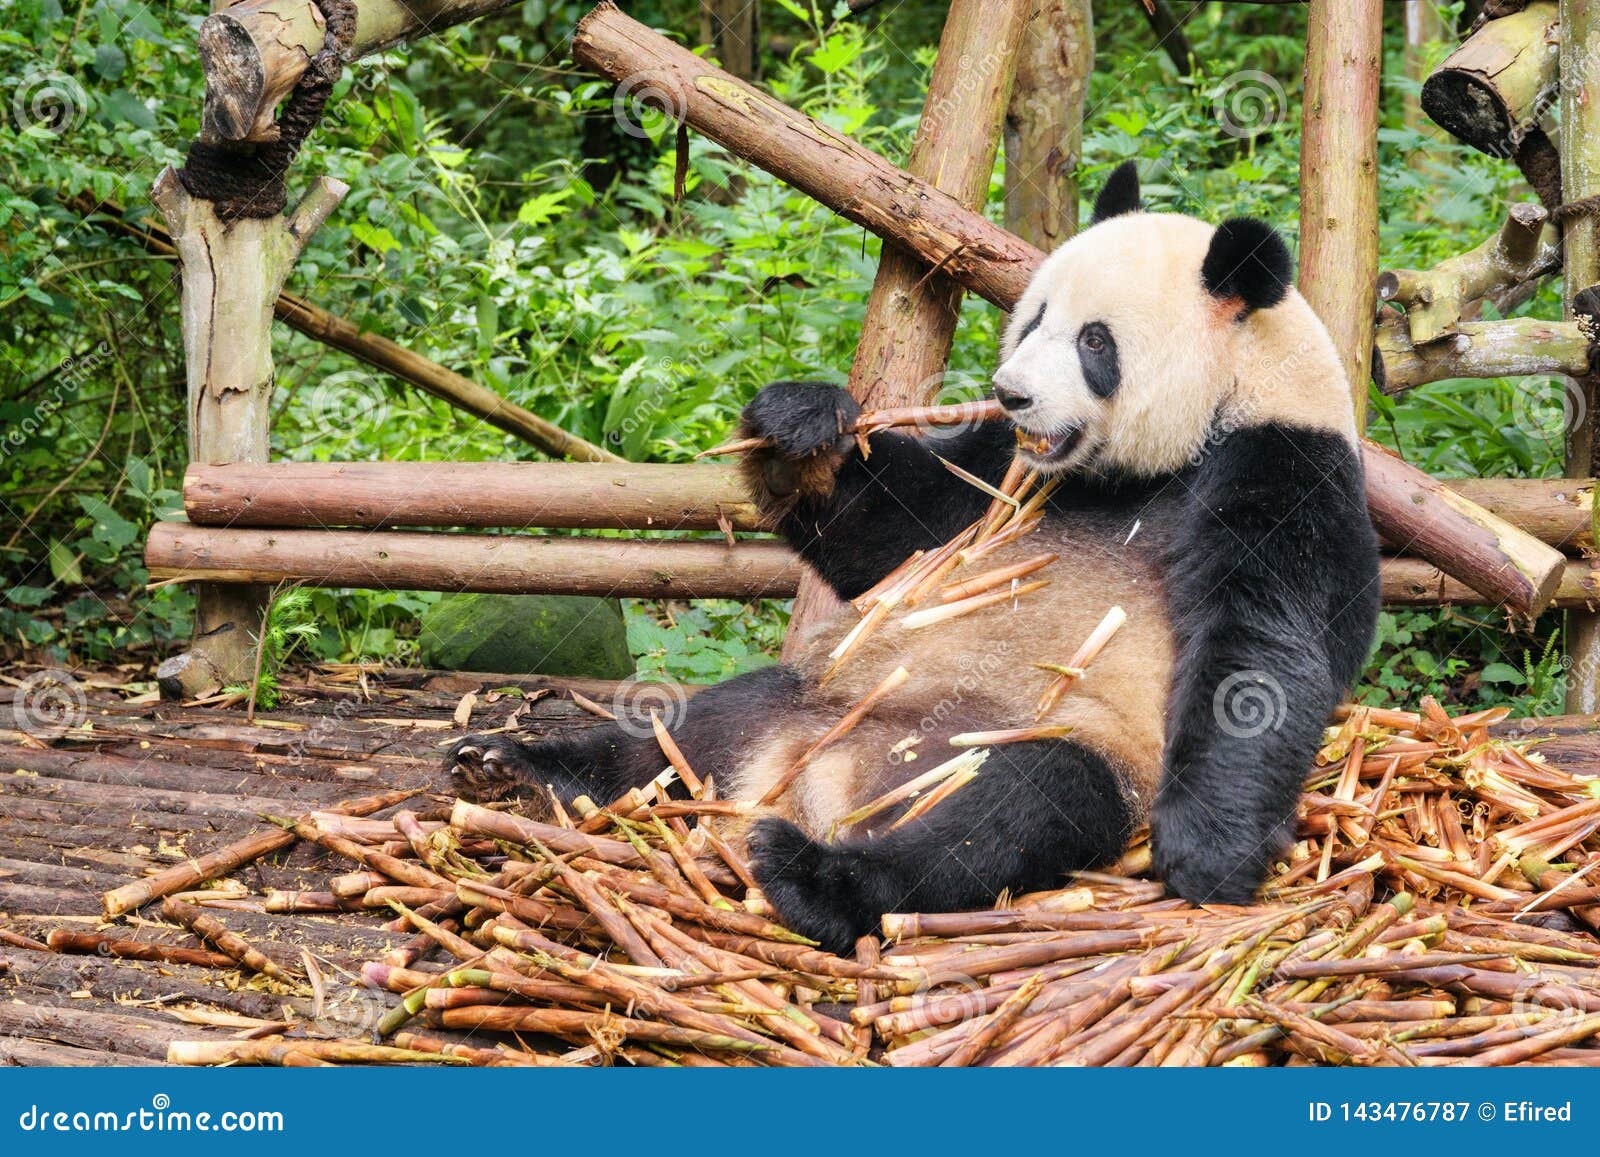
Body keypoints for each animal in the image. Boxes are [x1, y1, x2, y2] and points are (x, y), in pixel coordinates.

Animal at [444, 164, 1382, 960]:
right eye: (1033, 316)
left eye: (1095, 343)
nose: (1011, 392)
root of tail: (810, 781)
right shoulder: (1004, 476)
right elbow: (900, 532)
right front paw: (799, 424)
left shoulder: (1284, 467)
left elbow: (1261, 654)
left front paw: (1209, 856)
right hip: (811, 697)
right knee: (683, 734)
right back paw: (522, 770)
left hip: (1028, 744)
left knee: (1004, 813)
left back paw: (816, 878)